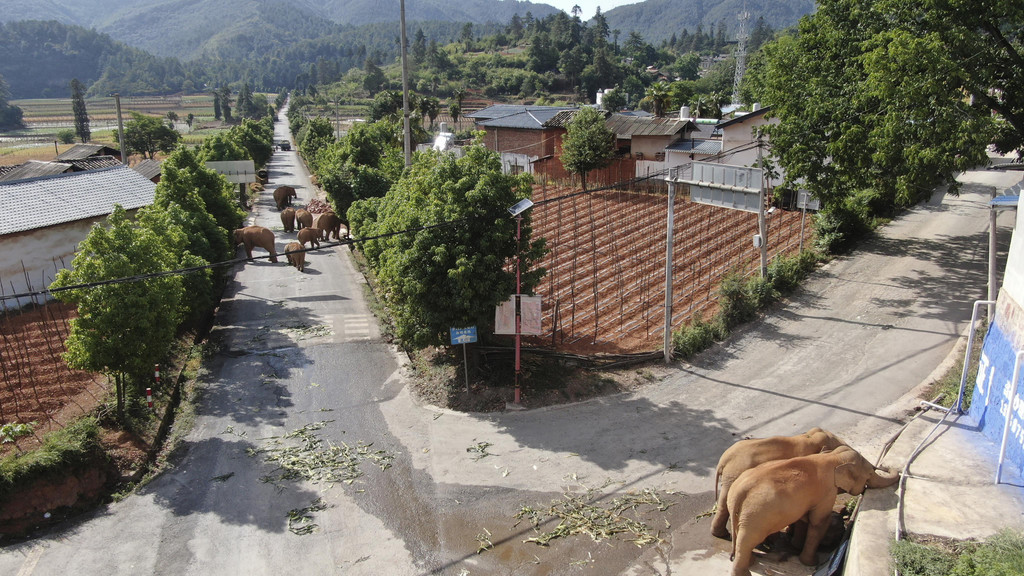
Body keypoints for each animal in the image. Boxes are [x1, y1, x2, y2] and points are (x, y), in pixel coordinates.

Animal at [712, 424, 847, 537]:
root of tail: (724, 460)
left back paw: (720, 534)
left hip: (730, 476)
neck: (808, 437)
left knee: (724, 502)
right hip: (733, 474)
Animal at [729, 444, 897, 573]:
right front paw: (812, 562)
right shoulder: (828, 491)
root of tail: (739, 491)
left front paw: (796, 546)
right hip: (756, 516)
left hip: (743, 513)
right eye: (869, 474)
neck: (834, 457)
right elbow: (819, 522)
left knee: (741, 537)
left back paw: (751, 561)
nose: (885, 466)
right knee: (747, 541)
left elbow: (804, 519)